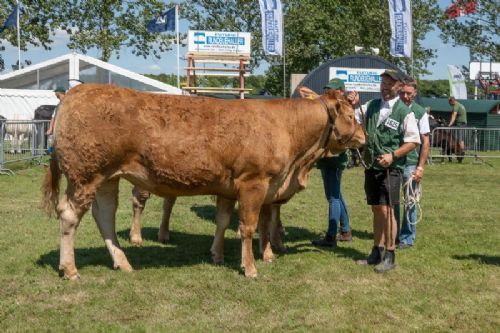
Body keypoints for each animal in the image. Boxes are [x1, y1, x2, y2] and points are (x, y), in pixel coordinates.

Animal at [42, 83, 364, 278]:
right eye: (350, 115)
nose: (363, 136)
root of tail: (74, 92)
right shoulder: (254, 182)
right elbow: (248, 227)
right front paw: (250, 267)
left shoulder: (231, 187)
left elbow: (224, 221)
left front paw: (218, 255)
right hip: (85, 175)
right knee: (69, 215)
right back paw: (70, 269)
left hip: (108, 177)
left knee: (105, 216)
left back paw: (123, 262)